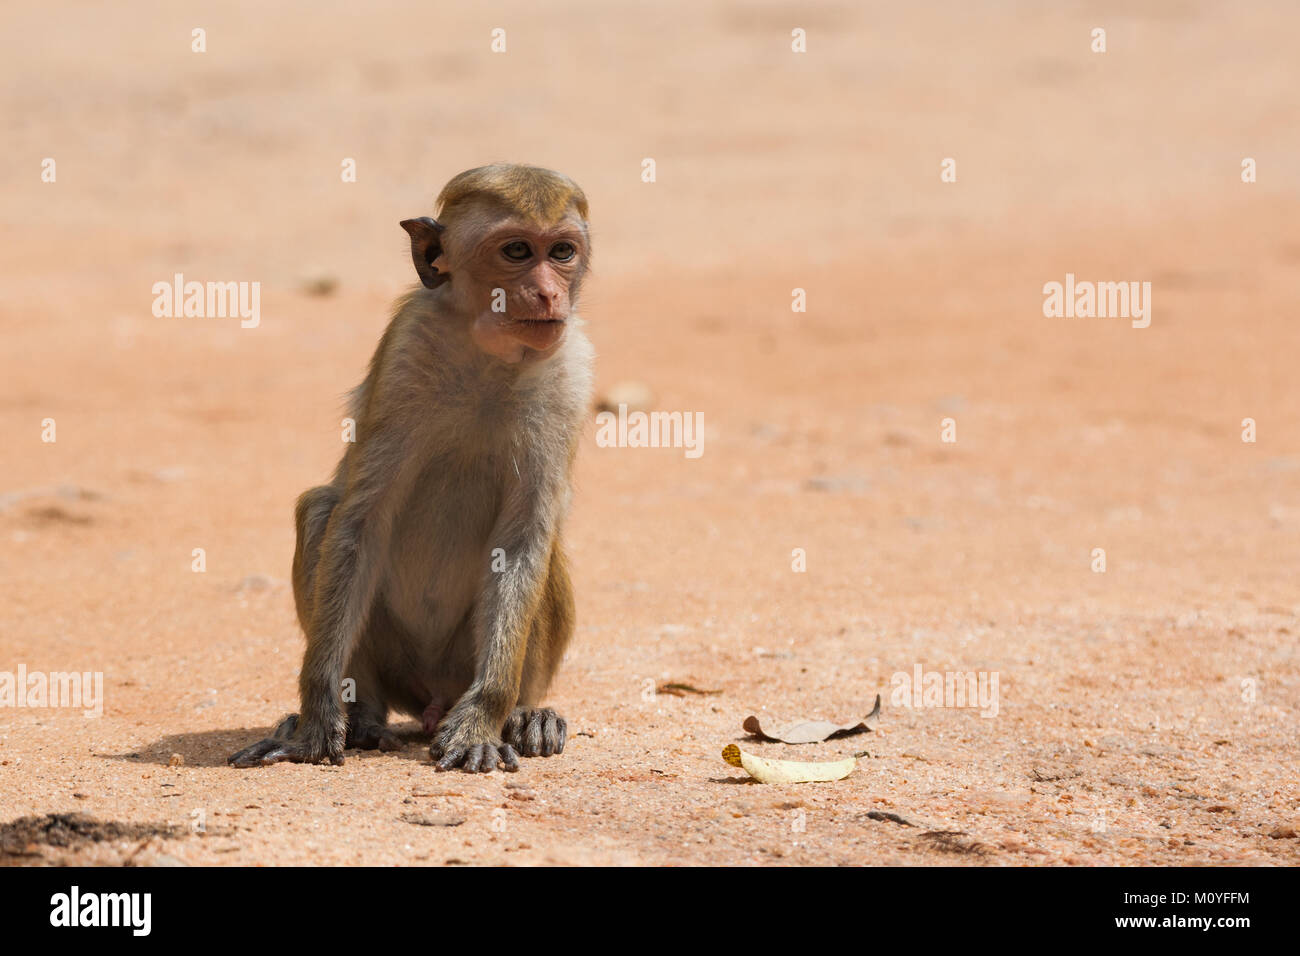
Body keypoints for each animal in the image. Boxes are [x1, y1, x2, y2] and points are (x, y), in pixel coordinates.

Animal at [229, 164, 593, 773]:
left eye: (562, 251)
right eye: (517, 251)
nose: (548, 292)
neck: (488, 353)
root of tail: (430, 698)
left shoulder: (569, 373)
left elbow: (523, 542)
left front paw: (482, 720)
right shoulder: (406, 348)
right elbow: (360, 521)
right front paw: (317, 714)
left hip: (459, 667)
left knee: (547, 551)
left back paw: (525, 714)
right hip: (399, 666)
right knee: (321, 509)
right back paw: (362, 718)